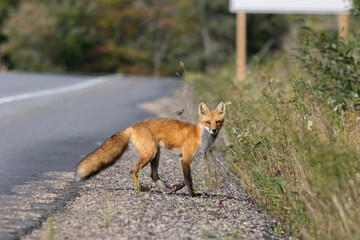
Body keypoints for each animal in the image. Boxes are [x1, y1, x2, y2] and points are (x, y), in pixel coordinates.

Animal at [76, 101, 225, 197]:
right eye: (207, 122)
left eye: (218, 122)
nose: (213, 130)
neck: (200, 135)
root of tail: (132, 126)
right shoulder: (185, 159)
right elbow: (188, 180)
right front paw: (193, 194)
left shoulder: (182, 159)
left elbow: (184, 179)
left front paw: (176, 187)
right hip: (150, 154)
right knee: (132, 171)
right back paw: (140, 188)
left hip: (156, 155)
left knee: (153, 175)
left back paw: (167, 190)